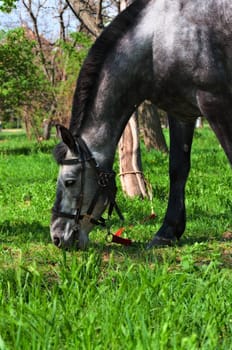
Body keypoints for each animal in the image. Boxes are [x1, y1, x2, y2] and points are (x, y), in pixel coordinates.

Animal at [50, 0, 232, 249]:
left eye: (69, 181)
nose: (57, 236)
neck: (160, 37)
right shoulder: (181, 112)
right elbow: (178, 169)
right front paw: (167, 232)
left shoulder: (216, 103)